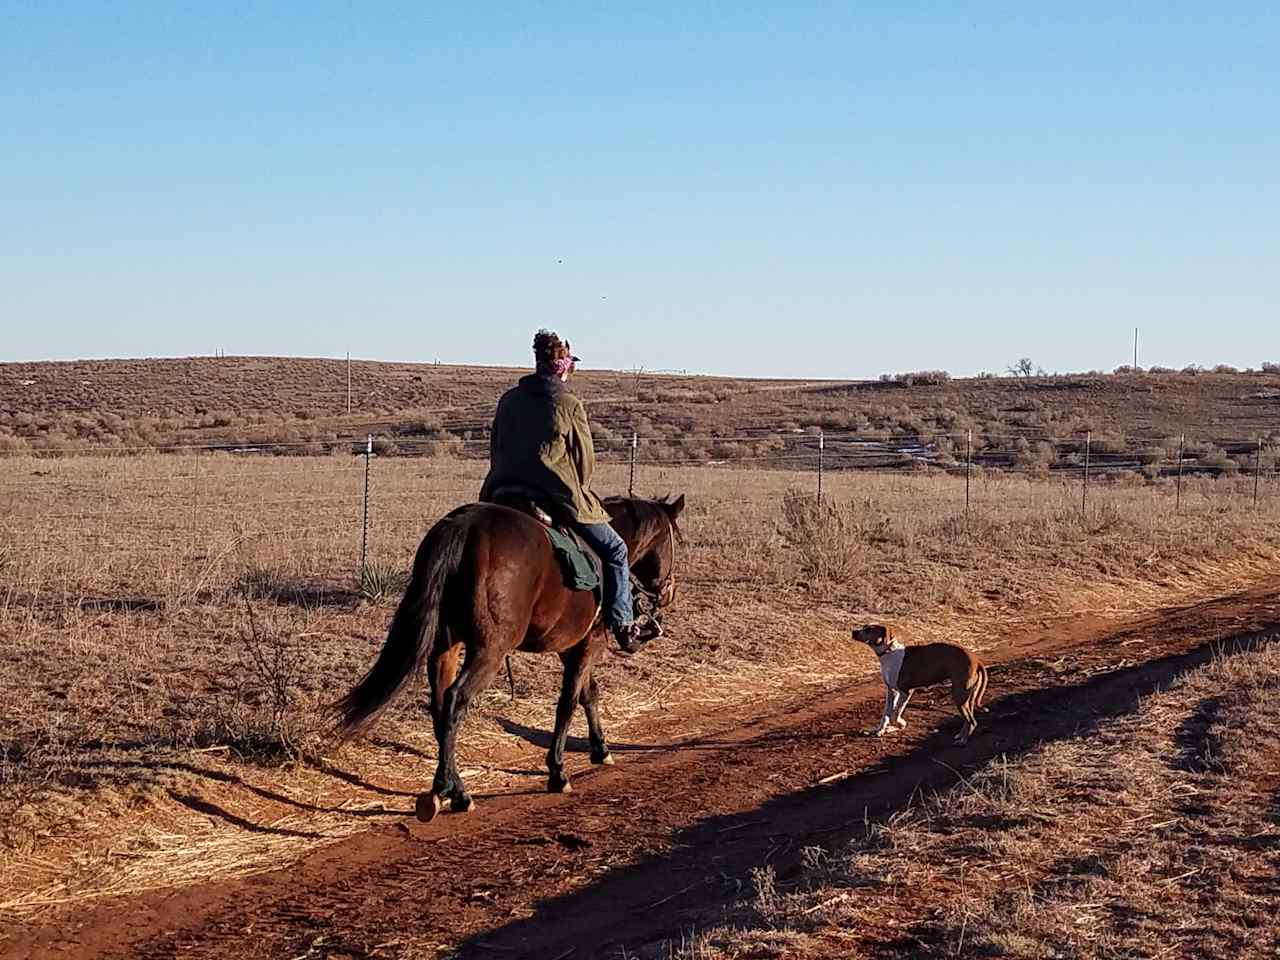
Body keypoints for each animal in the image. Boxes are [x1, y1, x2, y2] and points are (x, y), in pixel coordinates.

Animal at [335, 496, 686, 819]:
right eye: (677, 541)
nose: (669, 593)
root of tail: (463, 528)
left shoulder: (570, 647)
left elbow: (589, 693)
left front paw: (600, 749)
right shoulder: (590, 643)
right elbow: (568, 703)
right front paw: (558, 772)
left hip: (446, 647)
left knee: (439, 706)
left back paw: (452, 790)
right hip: (489, 650)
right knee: (455, 700)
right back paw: (449, 791)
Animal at [849, 619, 988, 747]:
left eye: (869, 630)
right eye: (864, 626)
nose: (853, 631)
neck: (888, 652)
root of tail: (977, 660)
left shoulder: (906, 692)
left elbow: (895, 714)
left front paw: (900, 724)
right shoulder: (892, 692)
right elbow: (886, 715)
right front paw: (881, 730)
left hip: (959, 695)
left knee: (971, 721)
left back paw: (963, 740)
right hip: (966, 697)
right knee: (969, 718)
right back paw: (960, 735)